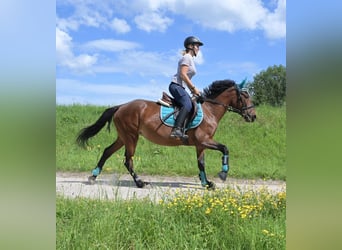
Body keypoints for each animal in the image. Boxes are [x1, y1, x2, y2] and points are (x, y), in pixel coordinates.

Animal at [76, 79, 255, 188]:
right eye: (245, 96)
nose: (253, 116)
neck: (210, 109)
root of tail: (121, 106)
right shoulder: (205, 140)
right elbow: (225, 148)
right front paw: (223, 173)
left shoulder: (200, 144)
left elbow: (201, 164)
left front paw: (206, 183)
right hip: (131, 137)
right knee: (128, 160)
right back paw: (140, 182)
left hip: (123, 137)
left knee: (107, 151)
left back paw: (93, 176)